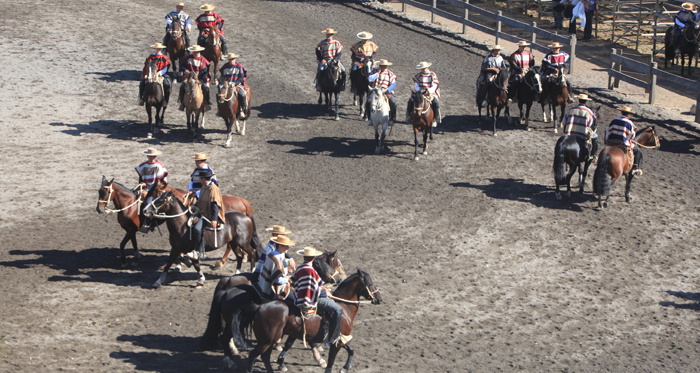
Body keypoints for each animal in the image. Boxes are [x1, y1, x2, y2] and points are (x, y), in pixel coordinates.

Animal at [232, 268, 380, 372]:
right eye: (370, 282)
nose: (379, 298)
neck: (343, 308)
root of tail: (259, 307)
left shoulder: (342, 338)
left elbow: (351, 349)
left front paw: (345, 367)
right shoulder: (336, 342)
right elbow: (331, 362)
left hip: (270, 340)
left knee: (265, 357)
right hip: (266, 341)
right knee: (253, 356)